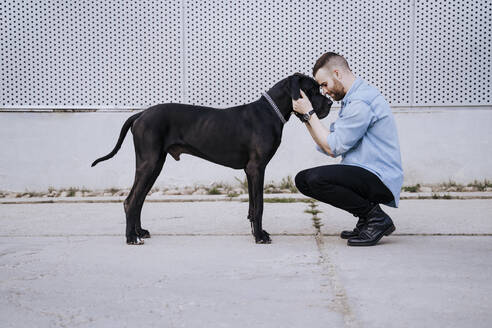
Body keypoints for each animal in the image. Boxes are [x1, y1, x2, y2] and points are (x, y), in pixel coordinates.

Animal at [91, 73, 332, 245]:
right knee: (131, 200)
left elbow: (252, 206)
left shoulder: (249, 171)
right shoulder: (257, 168)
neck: (270, 112)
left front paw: (256, 231)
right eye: (312, 90)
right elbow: (260, 205)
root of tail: (140, 114)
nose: (330, 104)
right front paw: (260, 237)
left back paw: (139, 231)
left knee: (139, 199)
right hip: (149, 163)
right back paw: (131, 238)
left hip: (154, 164)